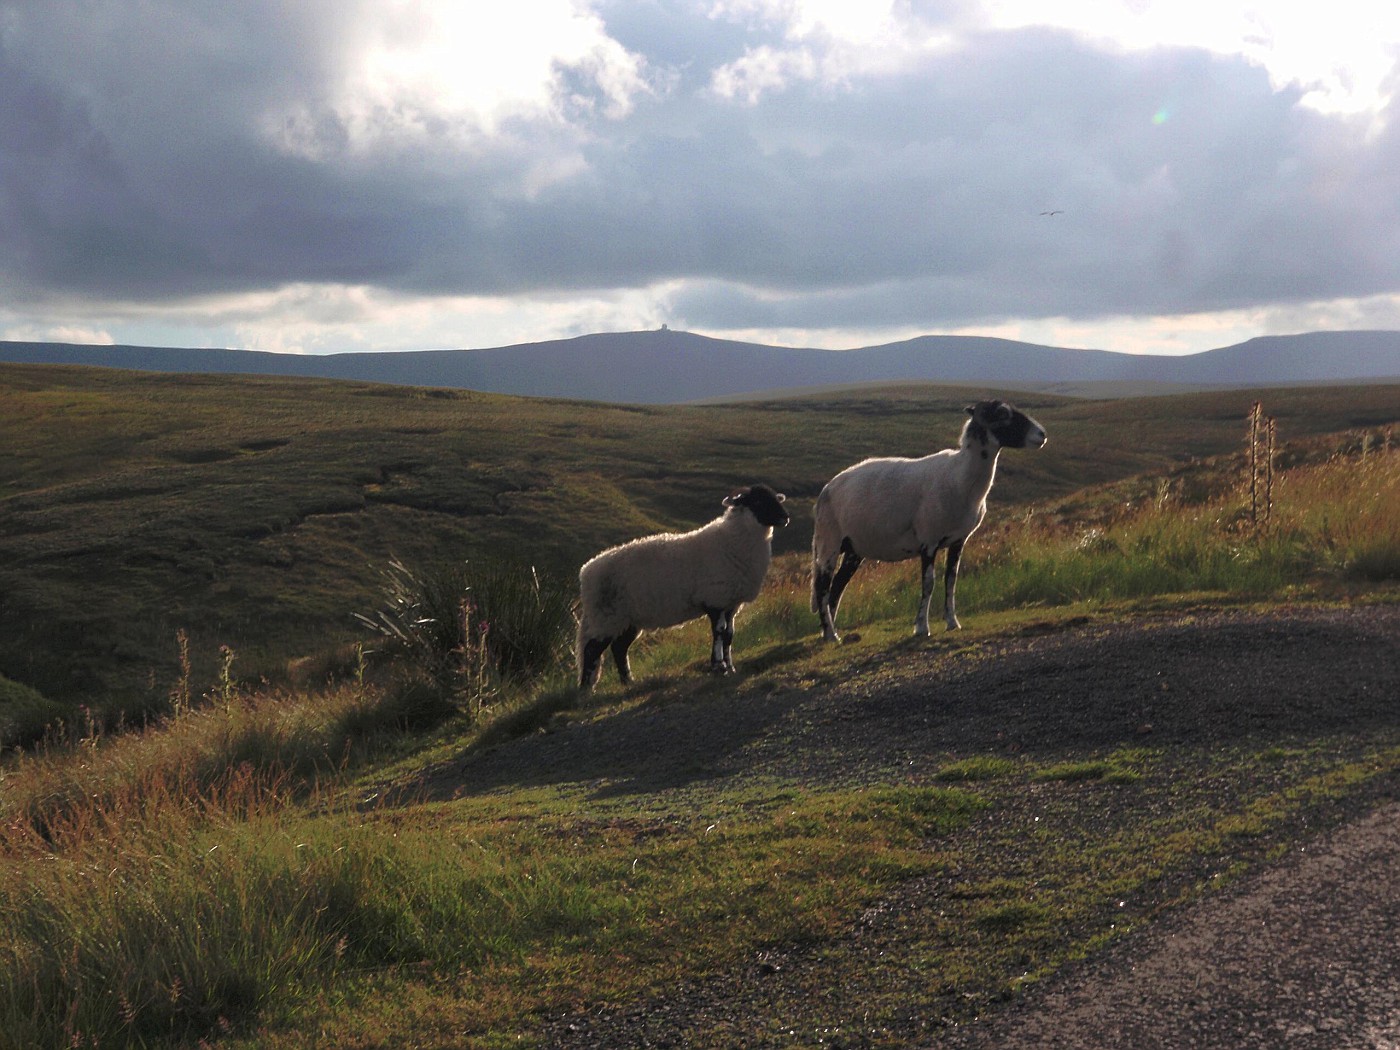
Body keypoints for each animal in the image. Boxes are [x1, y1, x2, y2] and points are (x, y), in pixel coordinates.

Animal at [571, 484, 789, 691]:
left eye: (775, 498)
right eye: (758, 501)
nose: (785, 518)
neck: (733, 540)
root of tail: (586, 571)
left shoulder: (731, 603)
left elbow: (729, 635)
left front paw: (730, 666)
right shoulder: (715, 599)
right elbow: (719, 633)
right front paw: (718, 667)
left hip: (628, 619)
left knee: (619, 648)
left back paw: (628, 681)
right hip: (607, 616)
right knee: (591, 649)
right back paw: (586, 689)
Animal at [806, 397, 1047, 641]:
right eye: (1001, 414)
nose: (1042, 434)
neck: (960, 477)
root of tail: (826, 489)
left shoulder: (958, 540)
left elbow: (951, 580)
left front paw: (952, 622)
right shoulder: (928, 540)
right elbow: (929, 583)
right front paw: (922, 627)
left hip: (854, 549)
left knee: (837, 586)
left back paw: (832, 632)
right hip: (829, 541)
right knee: (823, 586)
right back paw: (830, 634)